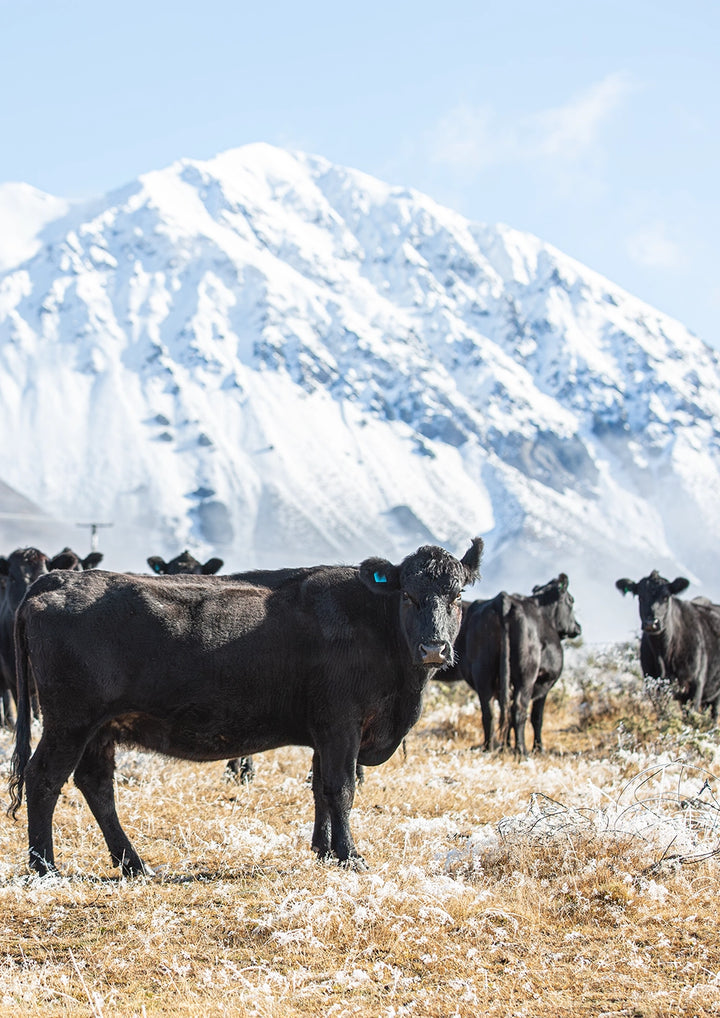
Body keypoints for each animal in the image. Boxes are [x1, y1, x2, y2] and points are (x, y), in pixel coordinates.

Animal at [9, 539, 483, 877]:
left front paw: (323, 851)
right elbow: (341, 788)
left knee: (96, 786)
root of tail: (57, 580)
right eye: (409, 596)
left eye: (457, 596)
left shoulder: (323, 732)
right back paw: (45, 866)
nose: (434, 648)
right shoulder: (341, 724)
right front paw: (349, 856)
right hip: (69, 722)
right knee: (44, 779)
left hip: (100, 728)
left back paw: (134, 864)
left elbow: (319, 787)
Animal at [441, 574, 581, 755]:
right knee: (518, 709)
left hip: (483, 671)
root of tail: (503, 599)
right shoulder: (545, 682)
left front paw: (506, 745)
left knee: (489, 711)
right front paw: (538, 748)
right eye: (571, 600)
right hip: (526, 674)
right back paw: (522, 750)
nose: (577, 627)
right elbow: (537, 717)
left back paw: (490, 747)